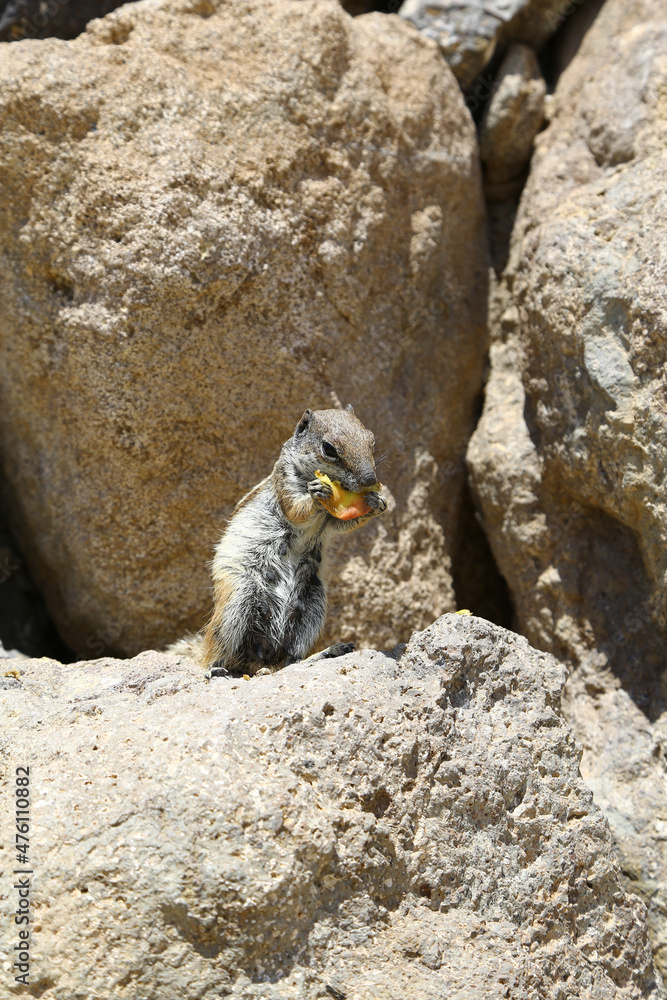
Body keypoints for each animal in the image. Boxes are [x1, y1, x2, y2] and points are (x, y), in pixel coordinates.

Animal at [175, 406, 388, 680]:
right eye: (329, 448)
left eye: (371, 440)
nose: (370, 480)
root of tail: (261, 659)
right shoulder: (284, 482)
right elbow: (296, 509)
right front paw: (319, 493)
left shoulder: (332, 521)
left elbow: (344, 524)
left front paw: (377, 502)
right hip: (237, 597)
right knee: (216, 647)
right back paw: (216, 669)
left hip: (313, 603)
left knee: (290, 660)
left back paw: (325, 653)